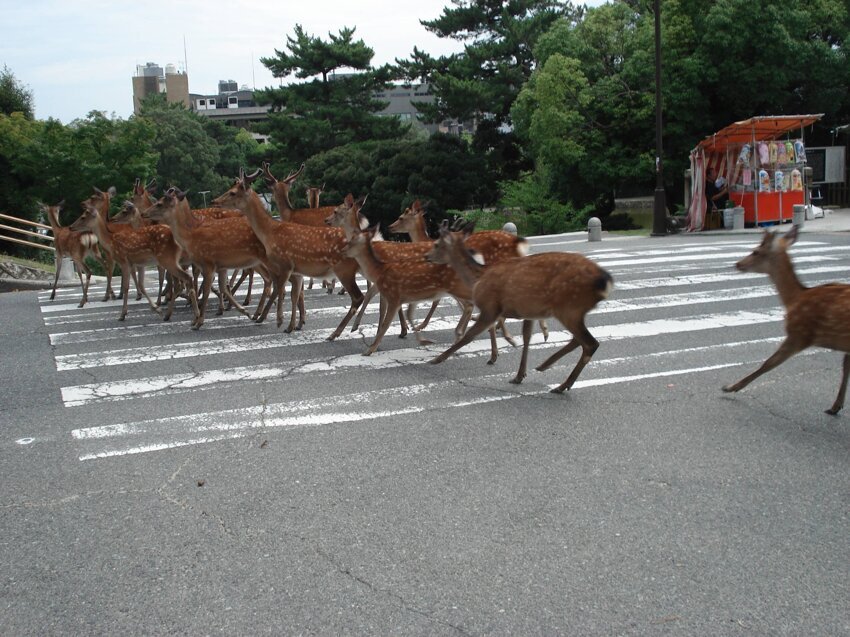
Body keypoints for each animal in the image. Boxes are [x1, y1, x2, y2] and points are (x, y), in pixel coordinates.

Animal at [428, 226, 612, 390]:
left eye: (437, 243)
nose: (426, 256)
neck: (478, 276)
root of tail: (606, 281)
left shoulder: (490, 306)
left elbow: (469, 336)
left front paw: (436, 359)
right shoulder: (529, 311)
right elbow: (526, 337)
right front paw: (519, 375)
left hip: (569, 307)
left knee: (590, 343)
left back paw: (562, 384)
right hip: (573, 310)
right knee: (578, 340)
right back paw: (545, 366)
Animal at [720, 226, 848, 414]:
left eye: (756, 251)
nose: (737, 264)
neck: (794, 299)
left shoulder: (799, 334)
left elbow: (768, 363)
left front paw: (731, 387)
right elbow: (846, 366)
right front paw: (835, 406)